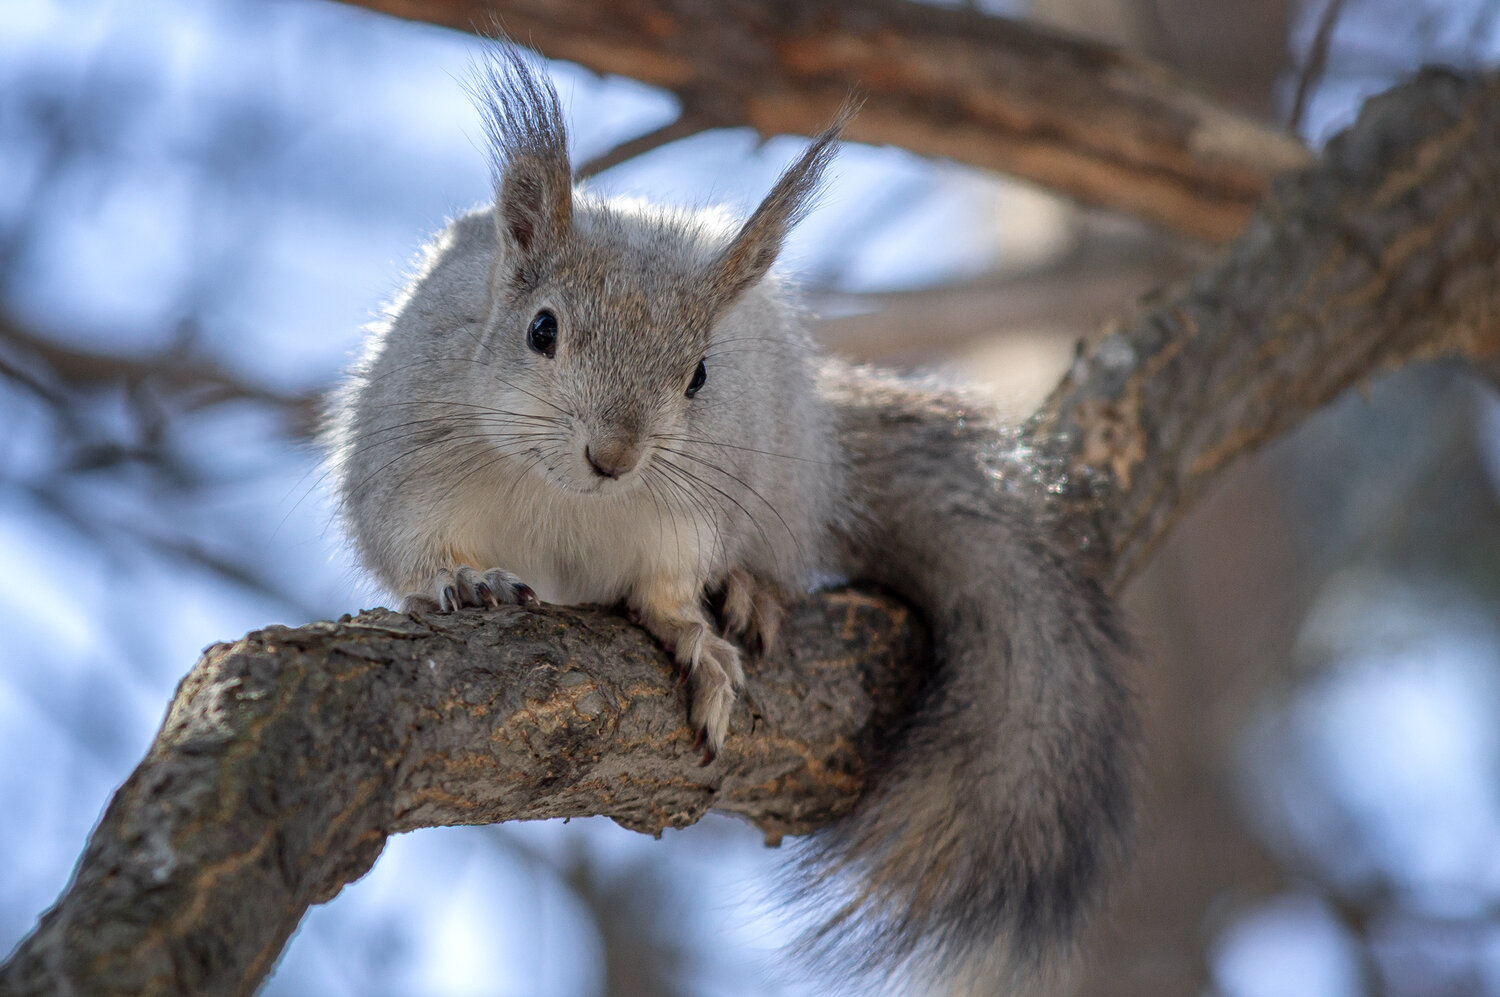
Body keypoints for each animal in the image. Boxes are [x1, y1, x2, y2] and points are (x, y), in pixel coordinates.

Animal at [324, 48, 1135, 991]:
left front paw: (697, 644)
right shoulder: (408, 462)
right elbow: (412, 551)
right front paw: (461, 577)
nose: (614, 455)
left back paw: (753, 589)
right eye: (540, 330)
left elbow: (667, 591)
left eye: (700, 375)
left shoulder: (686, 518)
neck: (566, 498)